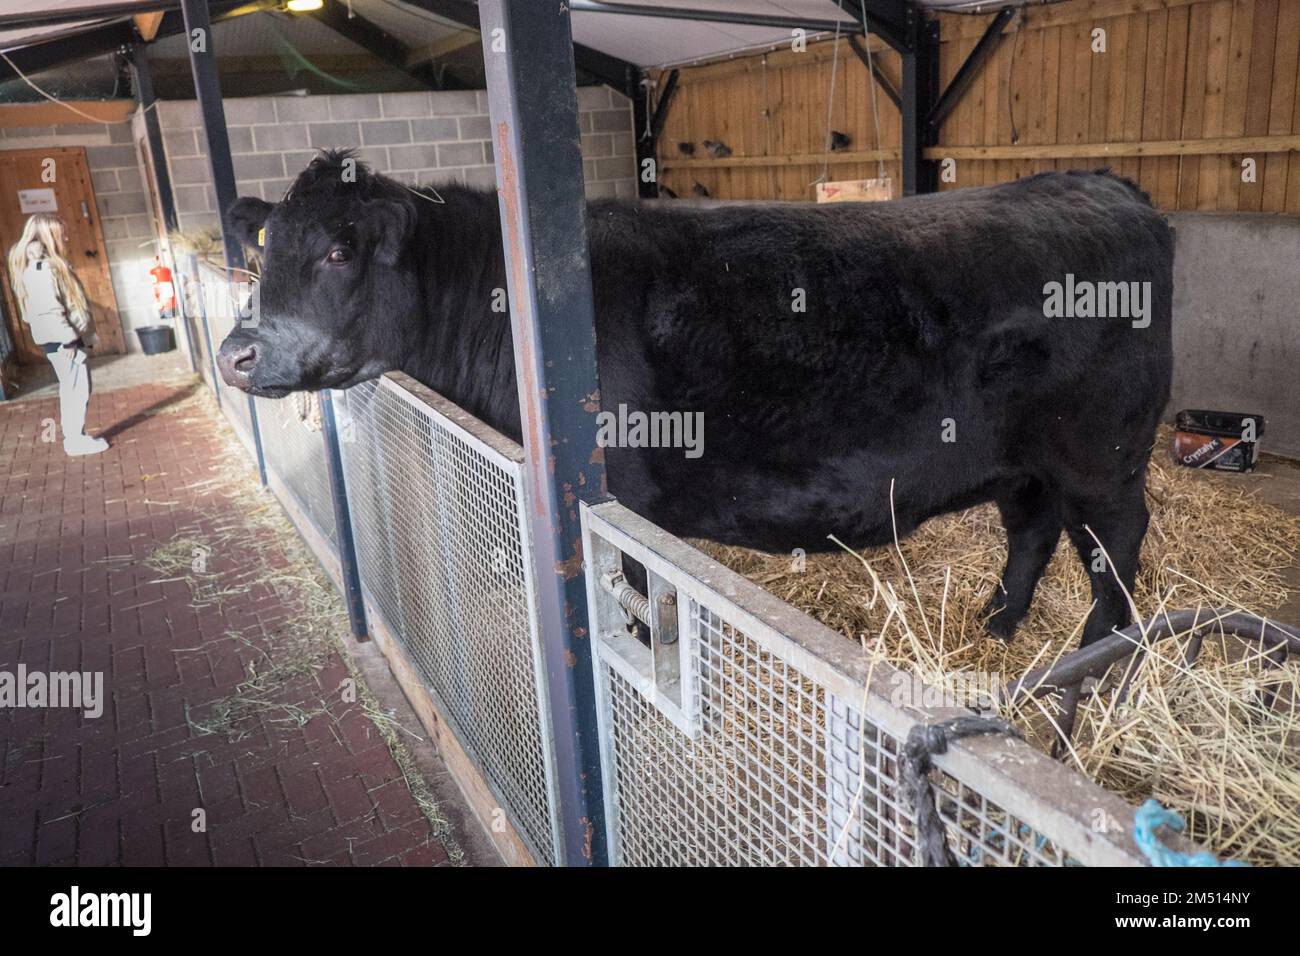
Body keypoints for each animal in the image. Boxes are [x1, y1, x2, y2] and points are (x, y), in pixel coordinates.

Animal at [218, 153, 1175, 647]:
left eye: (339, 250)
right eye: (264, 247)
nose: (234, 353)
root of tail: (1097, 181)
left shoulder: (622, 509)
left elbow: (634, 608)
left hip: (1103, 456)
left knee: (1117, 545)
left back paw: (1097, 658)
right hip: (1025, 462)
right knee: (1032, 532)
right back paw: (999, 625)